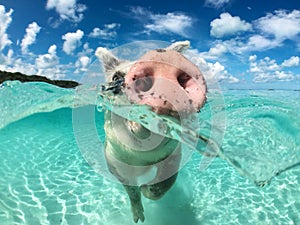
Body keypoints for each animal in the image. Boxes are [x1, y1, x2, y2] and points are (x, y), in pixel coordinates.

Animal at [95, 40, 206, 223]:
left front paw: (148, 189)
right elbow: (131, 190)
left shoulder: (173, 154)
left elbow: (168, 180)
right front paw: (138, 217)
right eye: (116, 77)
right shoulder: (115, 161)